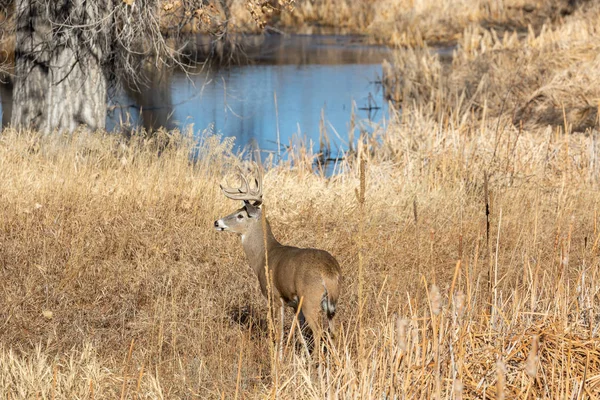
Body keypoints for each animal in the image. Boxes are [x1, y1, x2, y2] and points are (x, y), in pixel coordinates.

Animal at [213, 163, 340, 354]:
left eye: (240, 215)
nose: (217, 222)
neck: (264, 255)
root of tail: (329, 272)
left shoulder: (275, 295)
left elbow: (279, 332)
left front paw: (279, 357)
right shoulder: (295, 304)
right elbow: (301, 334)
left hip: (311, 299)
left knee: (318, 332)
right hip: (330, 303)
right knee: (334, 332)